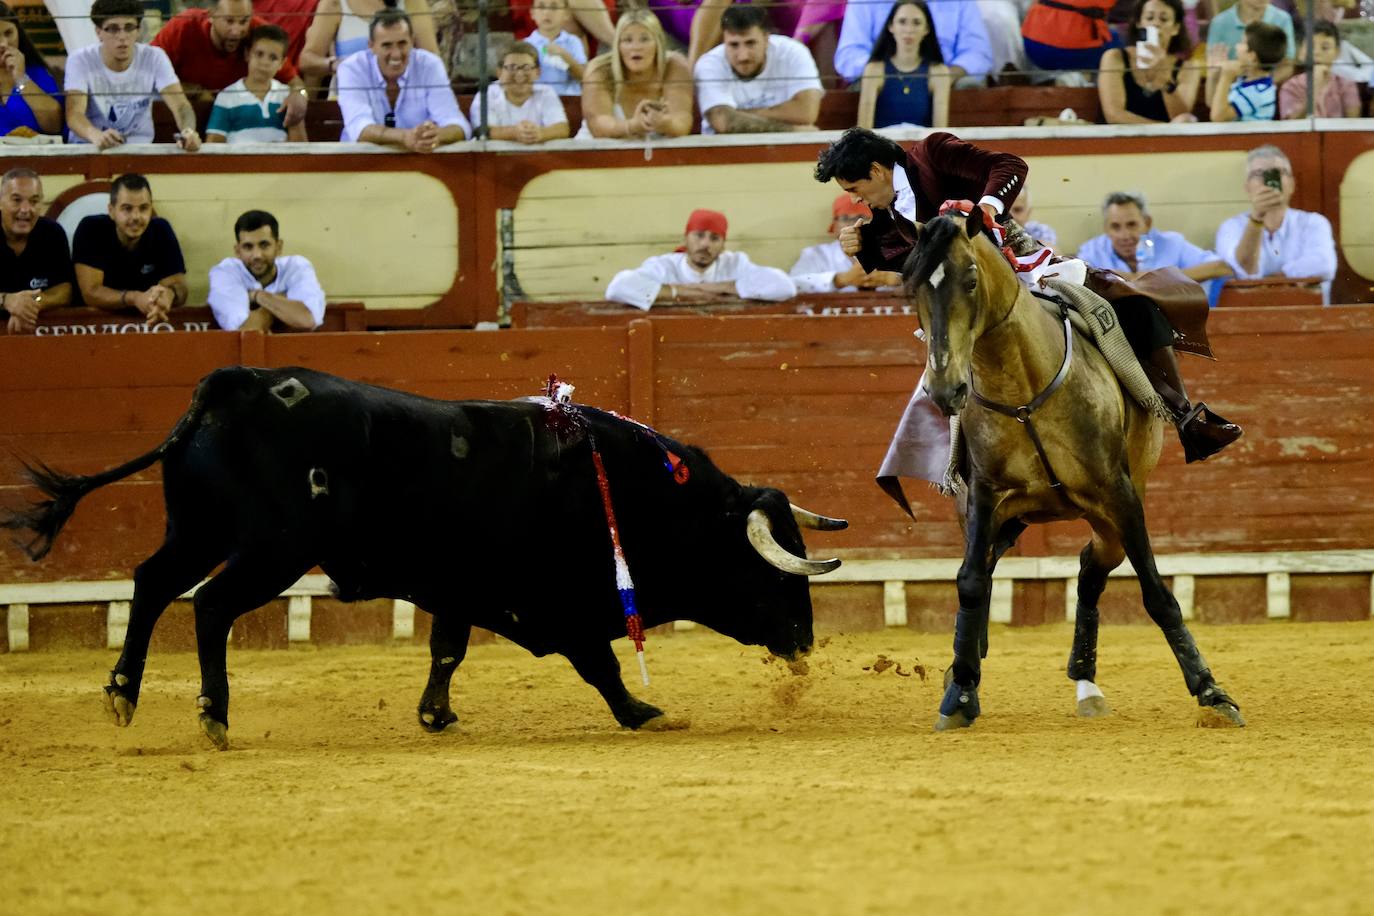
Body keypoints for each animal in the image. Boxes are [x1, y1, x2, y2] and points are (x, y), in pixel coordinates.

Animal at [2, 368, 846, 747]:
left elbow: (446, 649)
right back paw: (213, 714)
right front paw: (642, 711)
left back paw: (122, 693)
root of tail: (233, 383)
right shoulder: (563, 606)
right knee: (208, 605)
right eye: (770, 571)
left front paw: (435, 714)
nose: (805, 644)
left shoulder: (458, 589)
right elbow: (601, 664)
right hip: (273, 549)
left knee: (150, 584)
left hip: (199, 531)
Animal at [901, 211, 1247, 736]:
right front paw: (960, 692)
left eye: (971, 279)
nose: (945, 389)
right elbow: (970, 582)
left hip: (1109, 517)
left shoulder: (1119, 493)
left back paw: (1086, 682)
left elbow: (1156, 594)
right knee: (1006, 571)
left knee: (1091, 569)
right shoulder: (984, 496)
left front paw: (1212, 692)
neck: (1022, 389)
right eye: (913, 284)